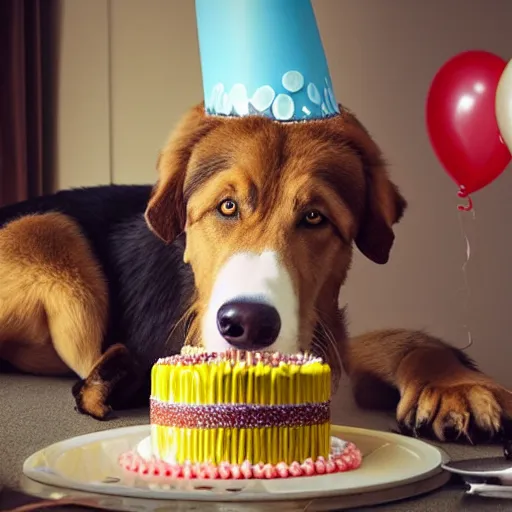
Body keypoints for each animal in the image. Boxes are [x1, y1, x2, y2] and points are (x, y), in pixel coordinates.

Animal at [0, 102, 510, 442]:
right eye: (227, 206)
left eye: (314, 217)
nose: (246, 326)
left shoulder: (329, 336)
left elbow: (404, 342)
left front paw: (456, 386)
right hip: (50, 236)